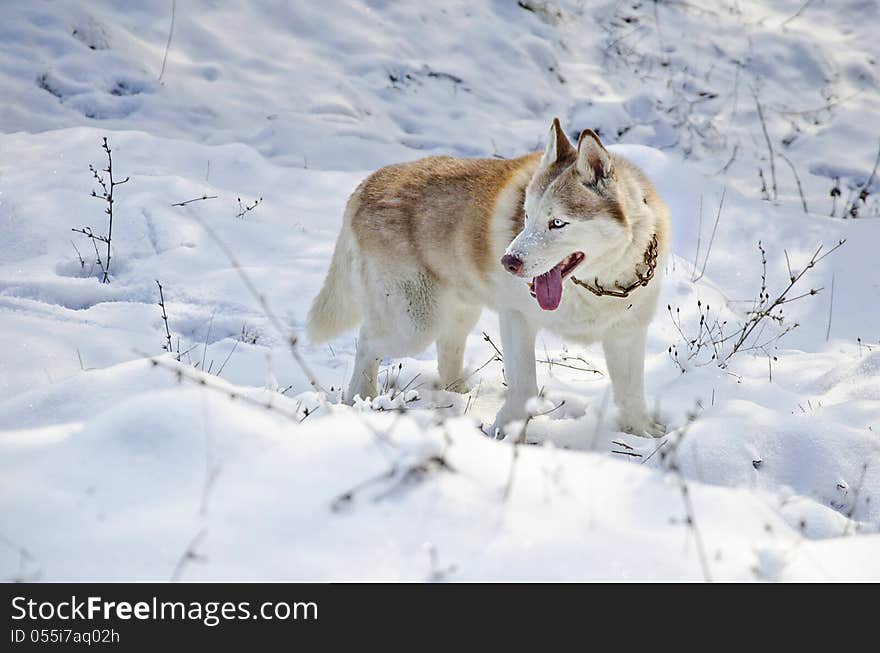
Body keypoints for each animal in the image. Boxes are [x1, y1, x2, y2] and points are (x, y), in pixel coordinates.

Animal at [306, 119, 672, 436]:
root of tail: (369, 180)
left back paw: (459, 395)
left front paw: (644, 434)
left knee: (446, 354)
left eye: (557, 223)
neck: (597, 287)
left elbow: (631, 394)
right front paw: (507, 431)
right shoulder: (516, 318)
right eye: (527, 216)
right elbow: (525, 387)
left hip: (456, 315)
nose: (508, 262)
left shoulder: (626, 335)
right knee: (367, 340)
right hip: (415, 325)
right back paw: (361, 399)